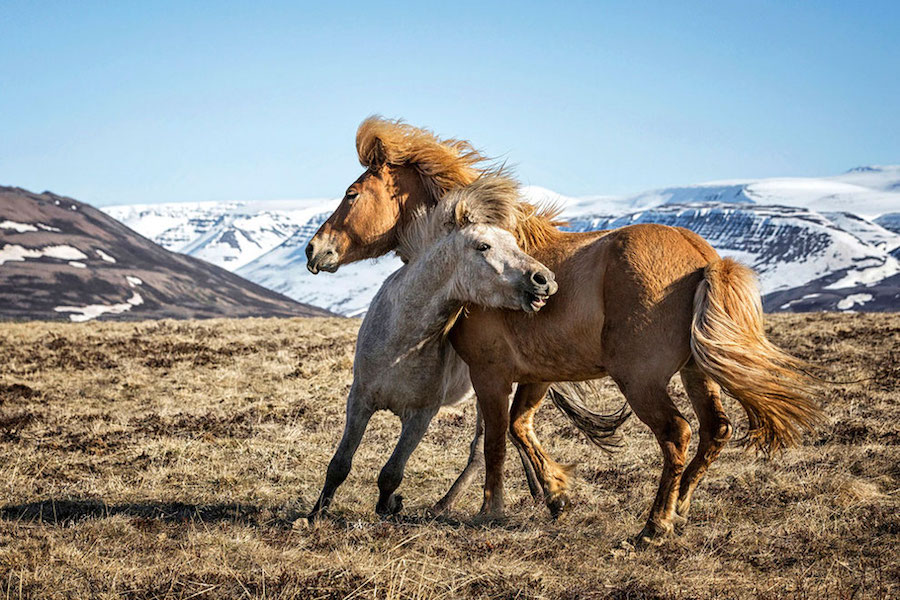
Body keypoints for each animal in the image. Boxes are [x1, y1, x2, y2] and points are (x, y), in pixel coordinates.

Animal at [307, 175, 559, 521]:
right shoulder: (359, 401)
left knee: (486, 447)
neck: (400, 343)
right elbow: (339, 464)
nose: (544, 279)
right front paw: (315, 514)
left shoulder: (420, 416)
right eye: (483, 246)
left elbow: (391, 473)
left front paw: (388, 507)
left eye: (515, 243)